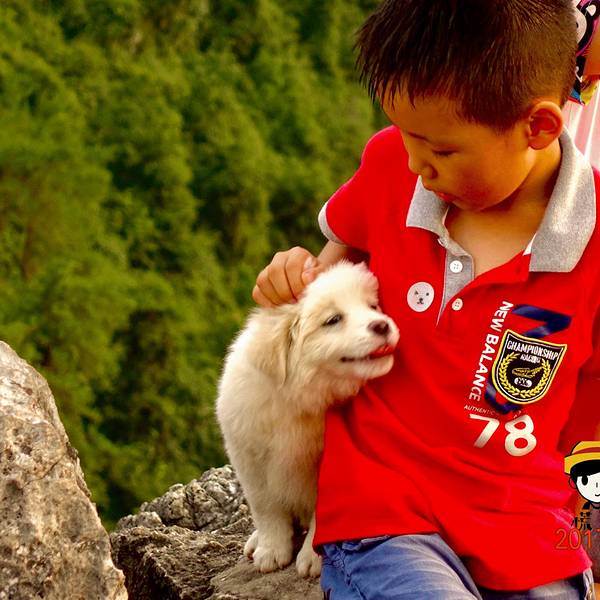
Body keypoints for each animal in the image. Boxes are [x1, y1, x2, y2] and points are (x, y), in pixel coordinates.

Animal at [216, 261, 399, 577]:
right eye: (333, 320)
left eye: (372, 306)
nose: (382, 324)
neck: (299, 402)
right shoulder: (249, 458)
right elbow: (266, 508)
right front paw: (271, 549)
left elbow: (321, 514)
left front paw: (312, 557)